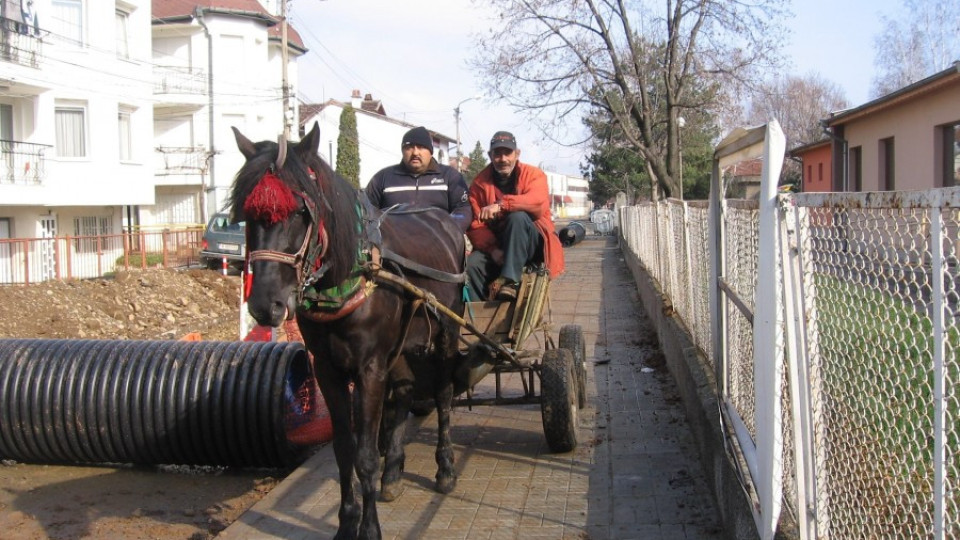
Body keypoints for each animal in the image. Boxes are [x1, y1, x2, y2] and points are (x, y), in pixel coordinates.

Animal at [226, 123, 464, 540]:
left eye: (300, 212)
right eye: (247, 215)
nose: (265, 305)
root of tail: (441, 219)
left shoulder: (369, 369)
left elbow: (365, 454)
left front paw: (369, 528)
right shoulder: (327, 370)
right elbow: (343, 450)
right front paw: (346, 521)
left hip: (447, 333)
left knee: (444, 394)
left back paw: (445, 466)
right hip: (401, 346)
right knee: (404, 391)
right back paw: (393, 471)